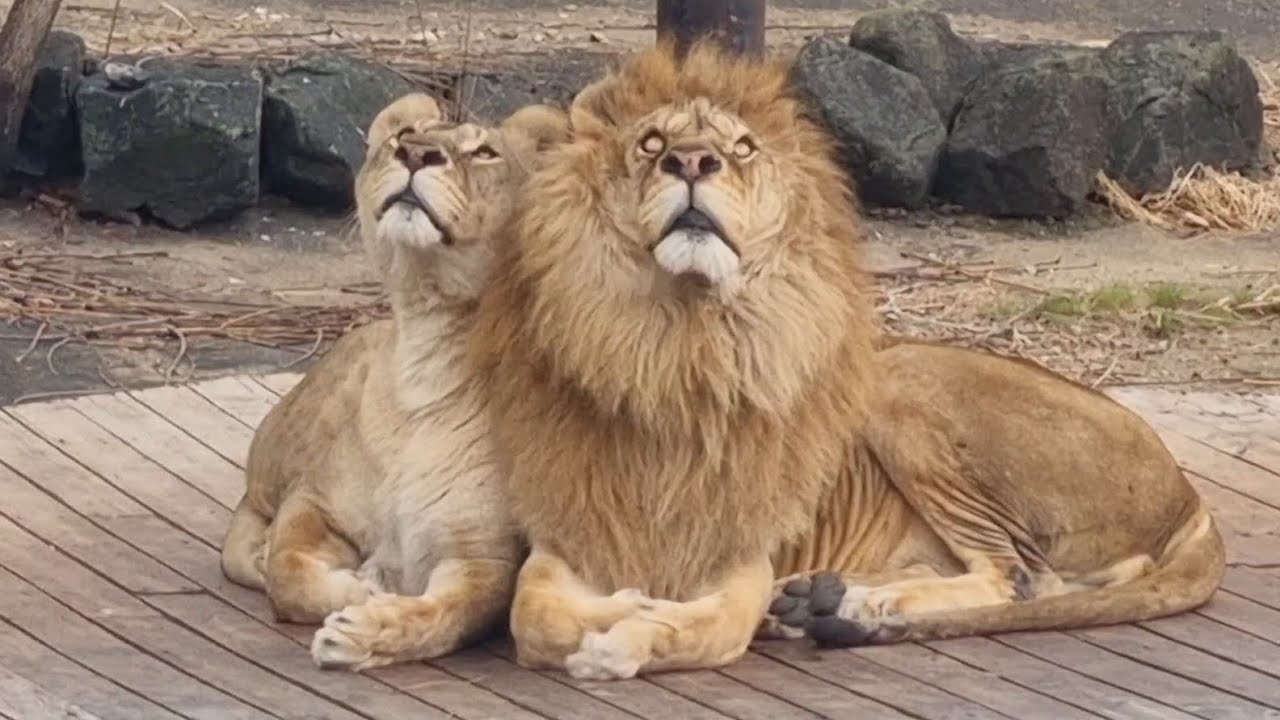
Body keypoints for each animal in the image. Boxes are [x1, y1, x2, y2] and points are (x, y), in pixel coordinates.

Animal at [218, 92, 569, 671]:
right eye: (404, 133)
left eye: (485, 151)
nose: (416, 153)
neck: (424, 362)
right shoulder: (315, 501)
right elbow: (289, 573)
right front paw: (359, 589)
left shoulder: (483, 556)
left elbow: (442, 617)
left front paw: (362, 630)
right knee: (245, 521)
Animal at [466, 41, 879, 680]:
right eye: (653, 142)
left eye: (742, 148)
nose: (691, 162)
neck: (680, 350)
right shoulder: (565, 541)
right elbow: (537, 617)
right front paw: (624, 607)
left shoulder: (741, 560)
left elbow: (705, 626)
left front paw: (624, 641)